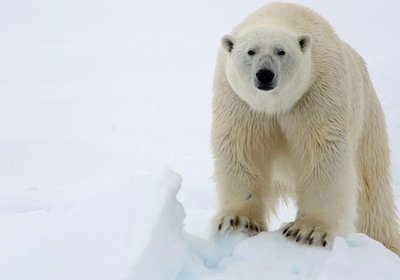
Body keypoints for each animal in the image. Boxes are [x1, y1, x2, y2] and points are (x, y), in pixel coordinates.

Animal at [211, 1, 398, 256]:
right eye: (251, 51)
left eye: (281, 51)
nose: (265, 74)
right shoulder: (240, 103)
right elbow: (243, 149)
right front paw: (238, 221)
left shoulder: (317, 92)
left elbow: (322, 153)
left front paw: (308, 232)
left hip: (367, 118)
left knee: (373, 193)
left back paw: (386, 244)